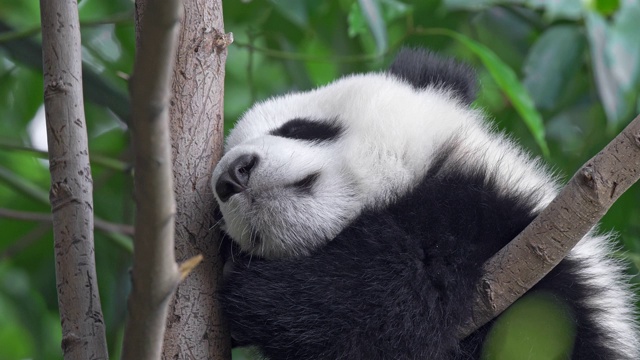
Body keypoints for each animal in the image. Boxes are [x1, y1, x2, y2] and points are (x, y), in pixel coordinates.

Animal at [211, 48, 640, 360]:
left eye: (298, 128)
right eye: (215, 202)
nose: (230, 177)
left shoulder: (504, 237)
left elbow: (395, 294)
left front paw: (258, 288)